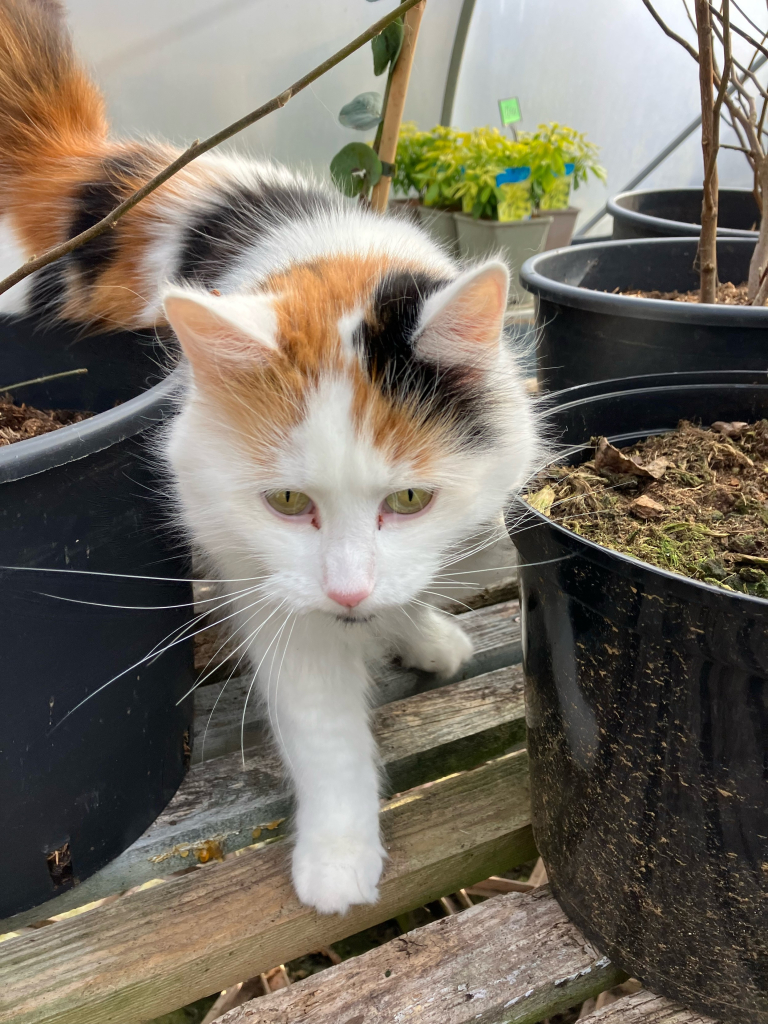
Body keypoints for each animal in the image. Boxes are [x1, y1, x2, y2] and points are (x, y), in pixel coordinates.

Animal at [0, 0, 540, 913]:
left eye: (410, 501)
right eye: (288, 503)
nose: (347, 591)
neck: (339, 255)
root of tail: (98, 167)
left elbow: (402, 586)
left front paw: (418, 631)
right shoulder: (263, 576)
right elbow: (322, 725)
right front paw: (338, 856)